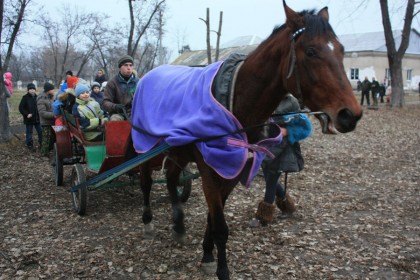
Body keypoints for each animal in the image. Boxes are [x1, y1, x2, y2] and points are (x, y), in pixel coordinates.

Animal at [130, 1, 360, 278]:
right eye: (311, 51)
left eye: (341, 49)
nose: (350, 114)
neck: (234, 98)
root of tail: (147, 76)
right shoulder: (210, 172)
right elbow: (220, 225)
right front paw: (221, 268)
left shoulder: (232, 170)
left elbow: (213, 217)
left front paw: (207, 253)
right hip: (144, 148)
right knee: (146, 182)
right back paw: (147, 221)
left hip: (179, 151)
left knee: (173, 177)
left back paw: (178, 225)